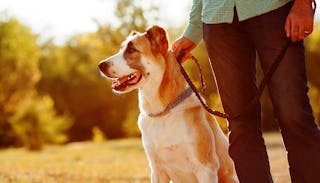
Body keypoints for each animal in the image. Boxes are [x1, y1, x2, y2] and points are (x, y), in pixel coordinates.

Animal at [99, 25, 239, 182]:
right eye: (121, 48)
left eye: (132, 49)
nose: (100, 65)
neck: (163, 113)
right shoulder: (157, 170)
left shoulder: (206, 168)